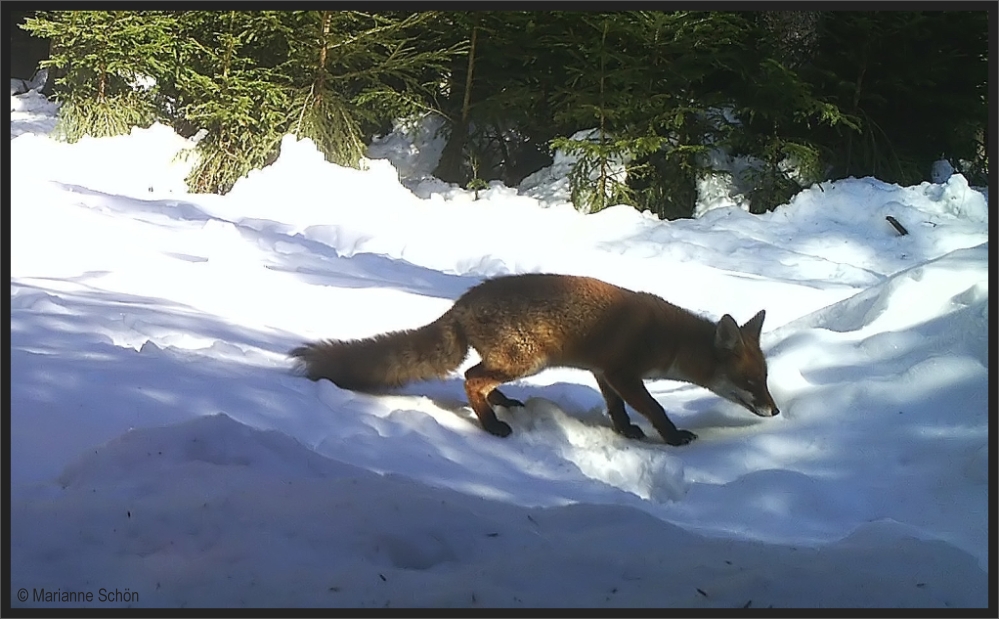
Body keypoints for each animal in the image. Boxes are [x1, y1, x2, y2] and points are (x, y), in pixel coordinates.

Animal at [290, 272, 780, 446]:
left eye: (765, 378)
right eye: (751, 383)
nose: (775, 411)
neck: (669, 340)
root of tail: (463, 302)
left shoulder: (604, 371)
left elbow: (618, 410)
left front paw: (626, 432)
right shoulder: (624, 371)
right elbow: (655, 407)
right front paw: (673, 437)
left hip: (516, 362)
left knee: (477, 377)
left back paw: (501, 405)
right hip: (525, 361)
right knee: (470, 378)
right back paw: (491, 425)